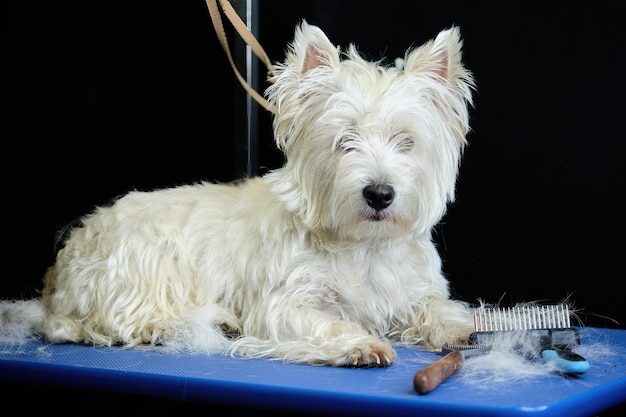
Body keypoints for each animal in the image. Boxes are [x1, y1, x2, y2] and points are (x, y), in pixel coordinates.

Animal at [0, 21, 472, 366]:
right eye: (344, 140)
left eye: (406, 141)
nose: (379, 193)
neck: (362, 244)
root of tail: (58, 280)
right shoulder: (283, 305)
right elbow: (323, 323)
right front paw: (360, 343)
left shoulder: (413, 289)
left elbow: (435, 306)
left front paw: (458, 326)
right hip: (142, 265)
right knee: (116, 321)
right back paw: (179, 326)